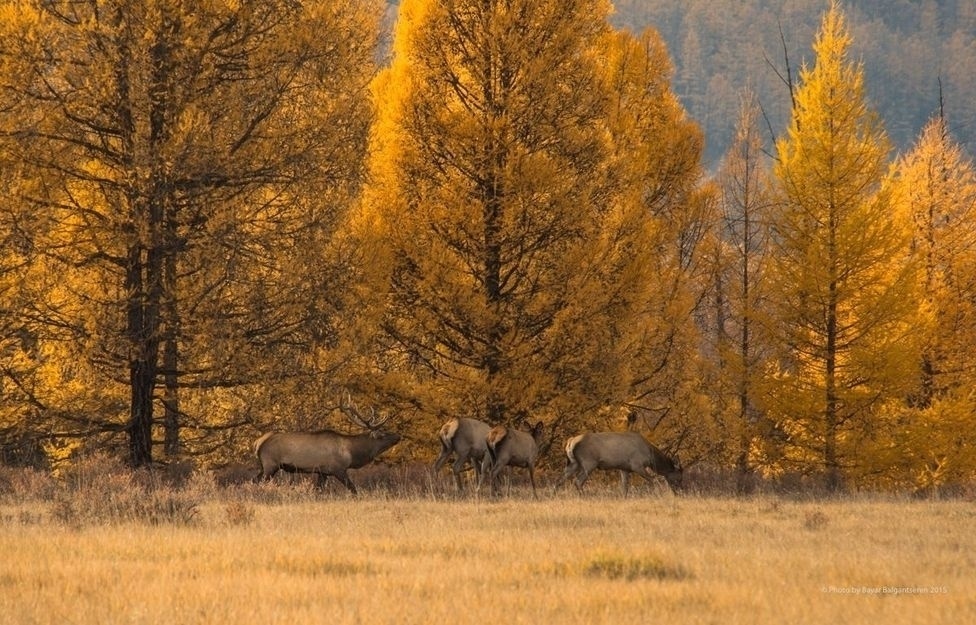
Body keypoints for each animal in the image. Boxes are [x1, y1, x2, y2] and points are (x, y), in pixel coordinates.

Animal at [258, 394, 402, 492]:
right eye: (383, 434)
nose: (398, 436)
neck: (351, 453)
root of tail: (258, 444)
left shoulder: (323, 472)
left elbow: (318, 491)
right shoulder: (338, 469)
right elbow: (353, 489)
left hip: (265, 466)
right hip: (270, 464)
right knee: (260, 481)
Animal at [552, 432, 684, 494]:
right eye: (678, 477)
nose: (680, 491)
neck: (650, 457)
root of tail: (570, 442)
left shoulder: (624, 468)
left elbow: (624, 487)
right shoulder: (637, 465)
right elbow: (652, 479)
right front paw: (656, 493)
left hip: (573, 463)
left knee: (559, 480)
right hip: (588, 463)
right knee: (578, 481)